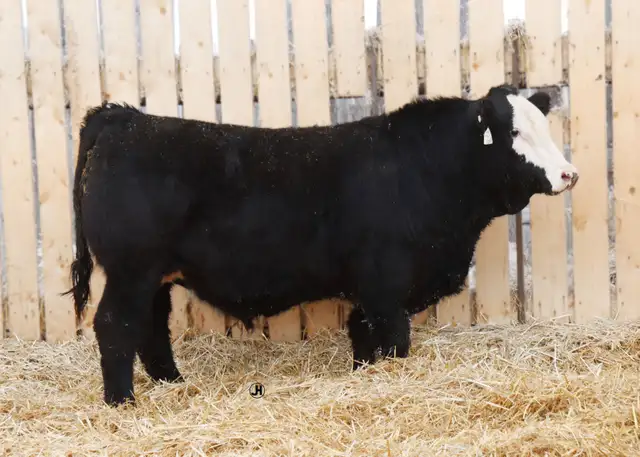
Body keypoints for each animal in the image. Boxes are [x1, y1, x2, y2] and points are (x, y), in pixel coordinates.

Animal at [65, 84, 578, 407]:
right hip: (131, 271)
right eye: (515, 132)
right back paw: (122, 402)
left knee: (151, 328)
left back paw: (174, 384)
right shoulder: (386, 286)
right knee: (115, 326)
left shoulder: (370, 293)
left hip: (154, 276)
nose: (569, 174)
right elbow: (394, 342)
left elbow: (363, 340)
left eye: (544, 126)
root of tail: (124, 118)